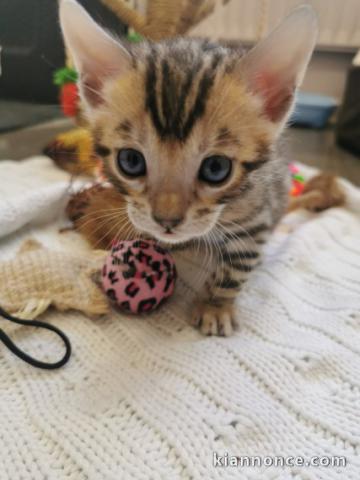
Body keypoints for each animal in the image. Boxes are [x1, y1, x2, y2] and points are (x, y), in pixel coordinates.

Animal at [59, 0, 318, 338]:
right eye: (130, 161)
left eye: (216, 168)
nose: (166, 221)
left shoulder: (258, 211)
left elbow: (239, 262)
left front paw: (215, 305)